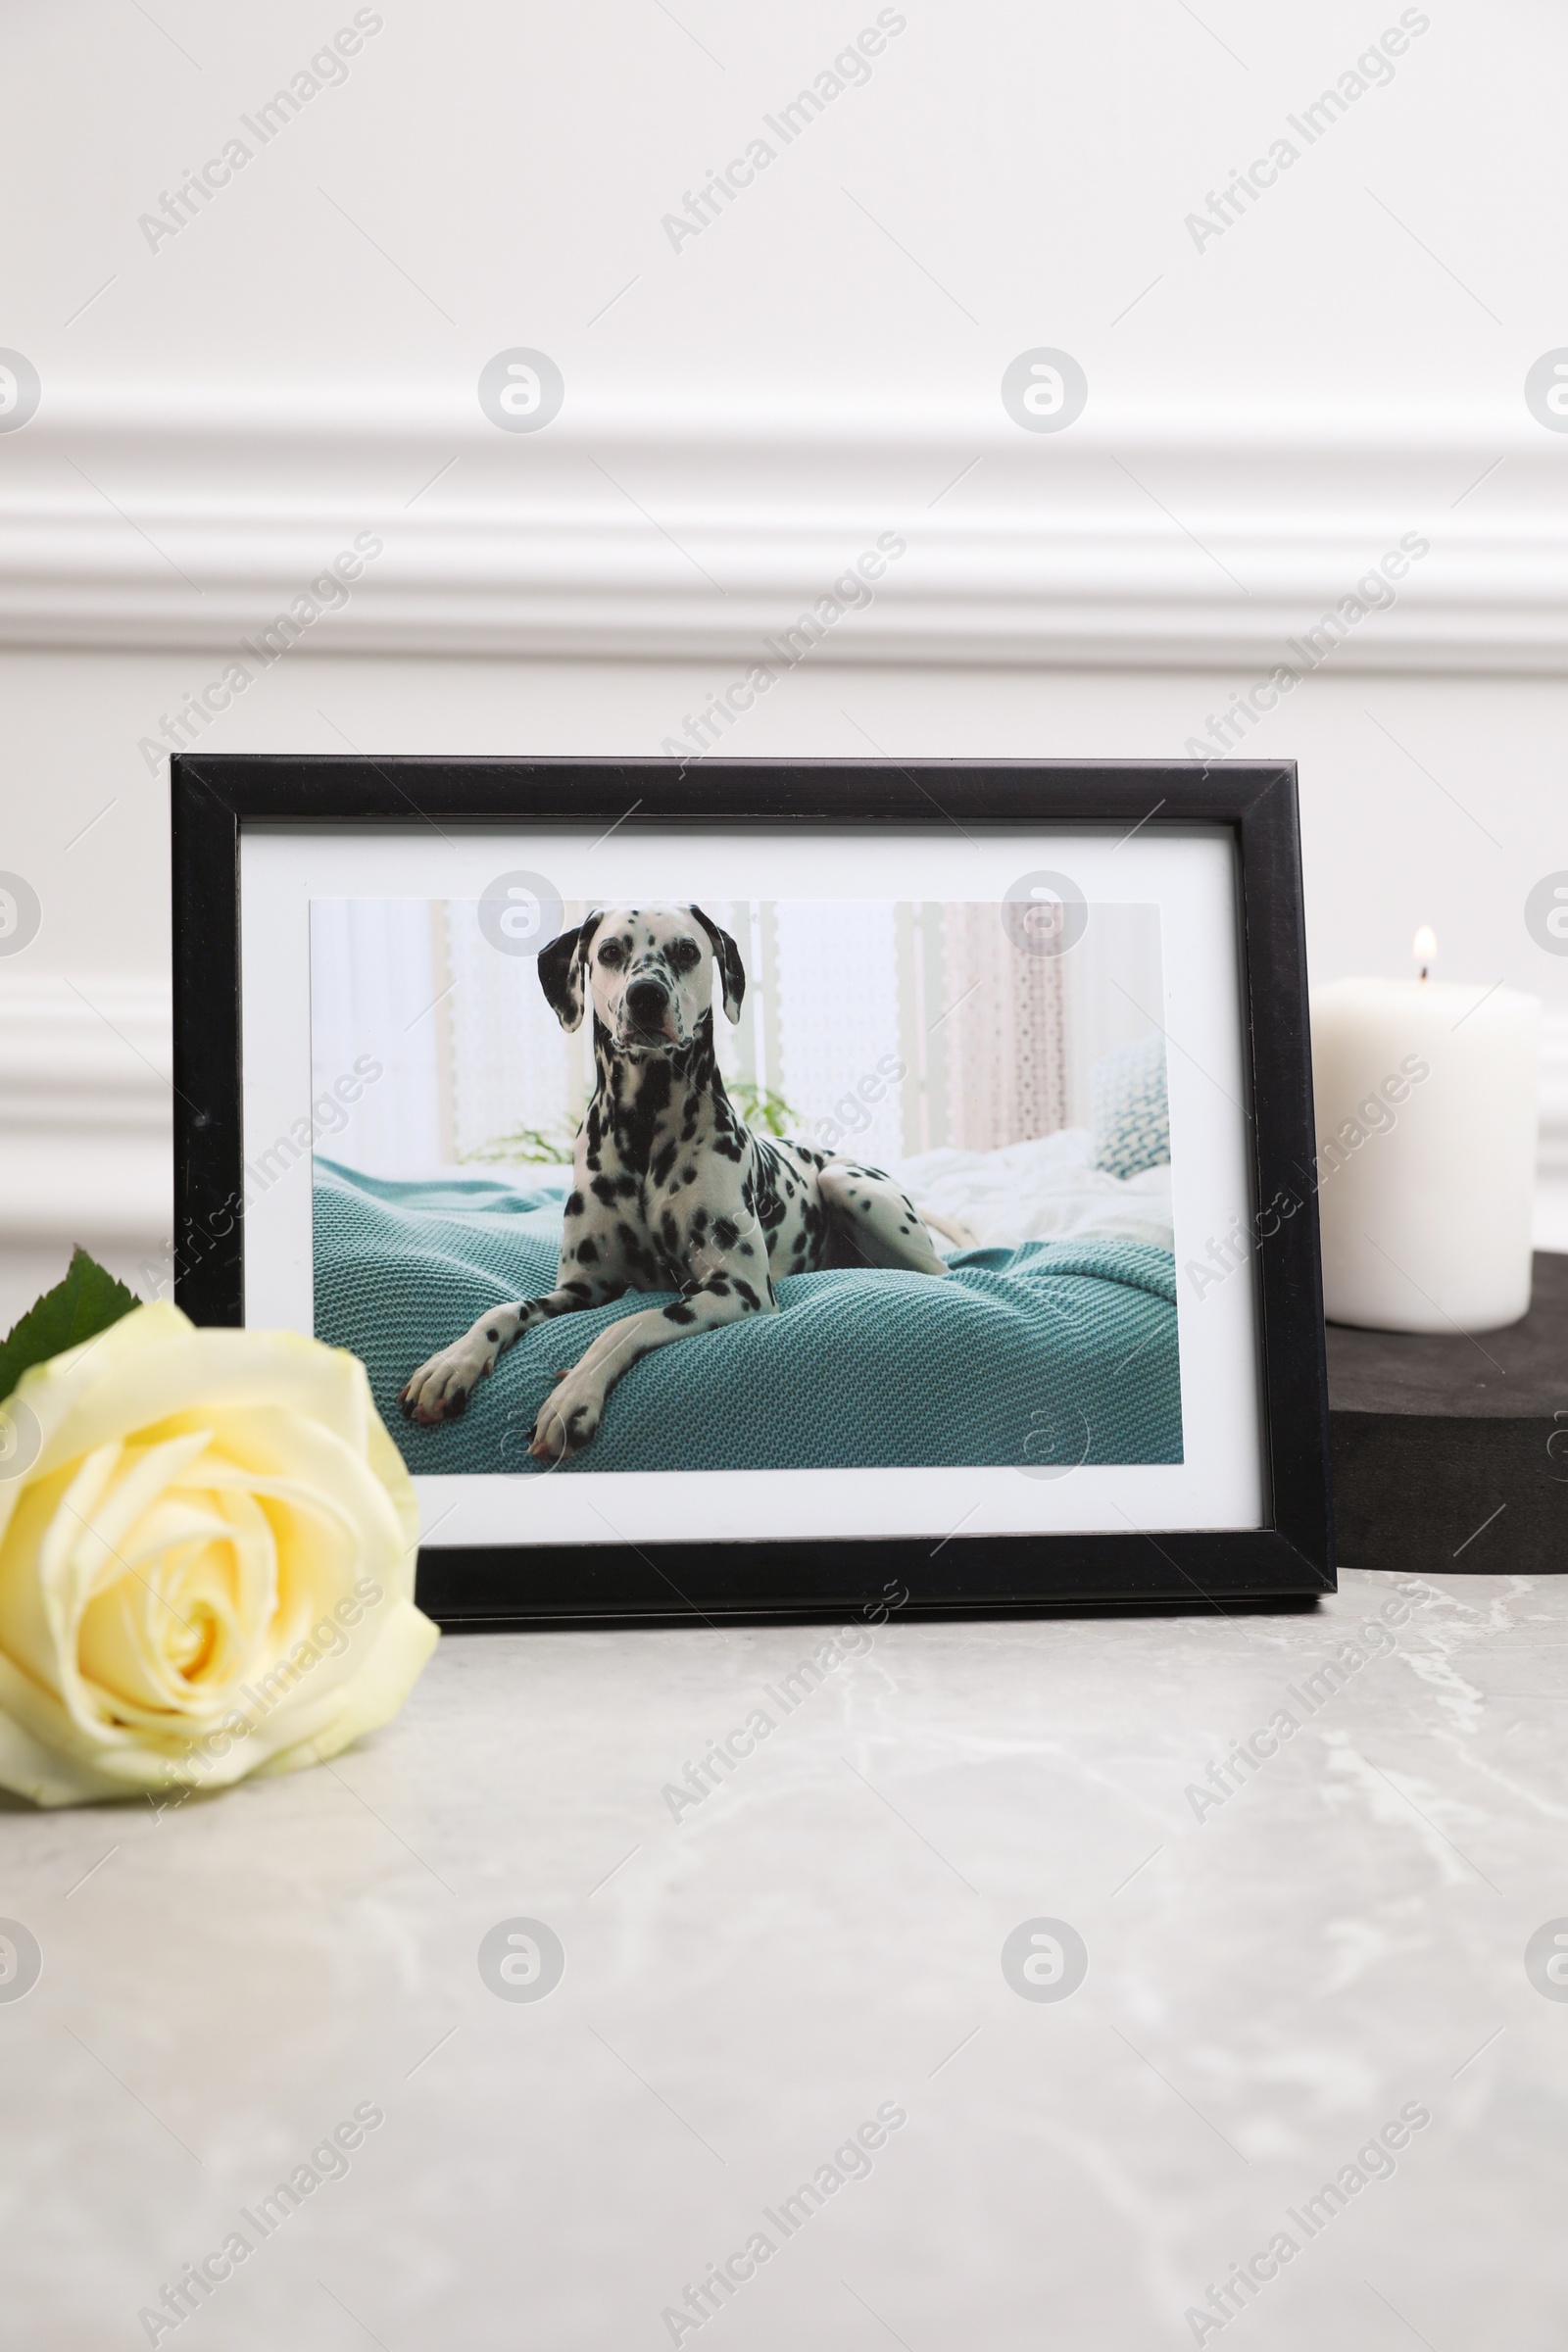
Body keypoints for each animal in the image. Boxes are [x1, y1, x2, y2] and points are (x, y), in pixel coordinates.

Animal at [399, 907, 950, 1458]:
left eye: (687, 950)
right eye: (610, 952)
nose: (646, 995)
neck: (644, 1126)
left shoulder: (738, 1289)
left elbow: (627, 1324)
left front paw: (573, 1393)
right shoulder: (582, 1287)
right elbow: (504, 1308)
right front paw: (451, 1363)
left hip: (850, 1187)